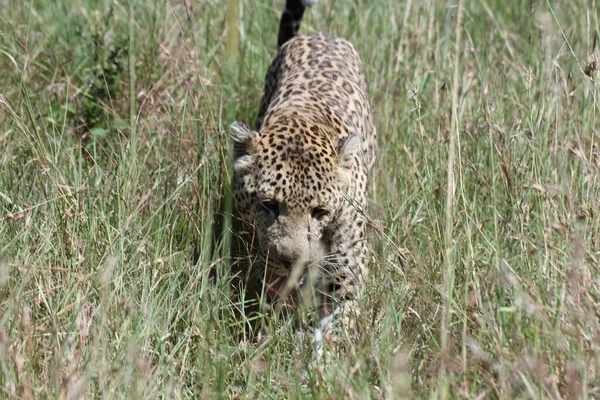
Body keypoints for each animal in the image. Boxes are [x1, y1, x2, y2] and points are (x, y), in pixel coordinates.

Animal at [229, 0, 376, 346]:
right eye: (268, 205)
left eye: (320, 212)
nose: (291, 261)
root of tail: (319, 34)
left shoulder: (350, 269)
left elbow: (340, 325)